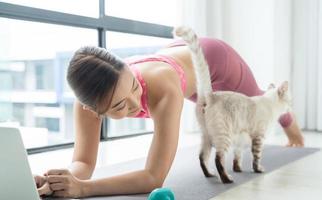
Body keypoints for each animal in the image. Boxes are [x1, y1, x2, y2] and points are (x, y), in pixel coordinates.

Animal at [174, 26, 292, 183]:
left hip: (206, 136)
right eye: (290, 100)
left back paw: (210, 174)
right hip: (224, 137)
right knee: (218, 159)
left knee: (202, 157)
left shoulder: (240, 141)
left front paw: (238, 169)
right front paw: (258, 170)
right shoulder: (258, 137)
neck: (270, 104)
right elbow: (256, 158)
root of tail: (211, 95)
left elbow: (237, 157)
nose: (291, 108)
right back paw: (226, 179)